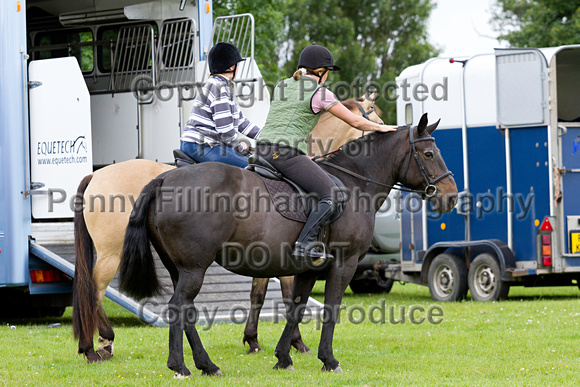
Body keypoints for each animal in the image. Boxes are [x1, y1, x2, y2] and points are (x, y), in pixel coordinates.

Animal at [116, 113, 454, 378]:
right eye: (428, 154)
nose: (450, 196)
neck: (356, 184)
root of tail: (164, 180)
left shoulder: (308, 269)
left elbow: (296, 308)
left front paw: (283, 357)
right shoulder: (344, 264)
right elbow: (330, 309)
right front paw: (328, 360)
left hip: (180, 269)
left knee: (185, 310)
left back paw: (207, 365)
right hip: (194, 268)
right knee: (178, 307)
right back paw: (181, 367)